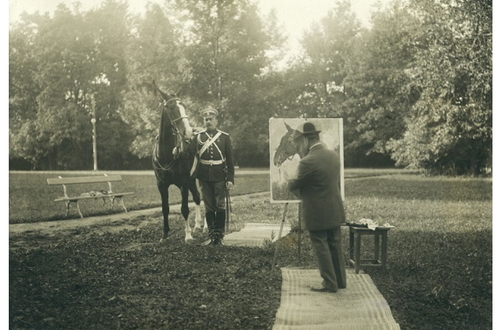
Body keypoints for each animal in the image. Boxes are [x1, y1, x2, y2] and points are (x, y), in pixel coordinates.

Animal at [153, 84, 206, 244]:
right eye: (170, 107)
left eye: (184, 106)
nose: (188, 132)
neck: (166, 155)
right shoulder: (161, 184)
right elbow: (165, 208)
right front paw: (164, 234)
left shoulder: (183, 182)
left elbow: (184, 208)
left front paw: (187, 235)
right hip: (191, 180)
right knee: (197, 197)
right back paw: (197, 225)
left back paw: (205, 226)